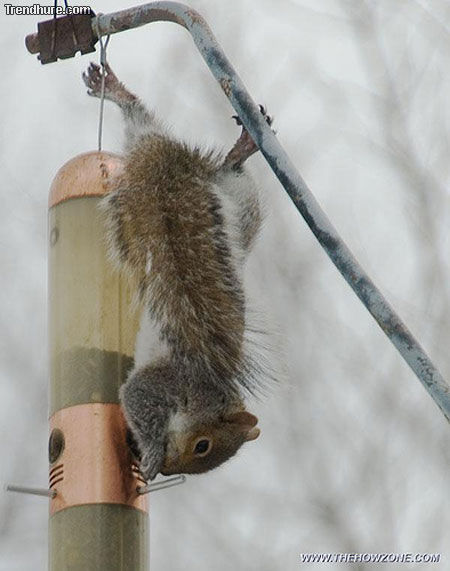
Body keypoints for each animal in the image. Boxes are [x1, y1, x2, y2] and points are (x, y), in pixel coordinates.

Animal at [82, 63, 272, 482]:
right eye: (203, 445)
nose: (170, 470)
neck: (202, 397)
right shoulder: (164, 381)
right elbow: (137, 395)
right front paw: (152, 454)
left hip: (242, 204)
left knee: (149, 128)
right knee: (145, 127)